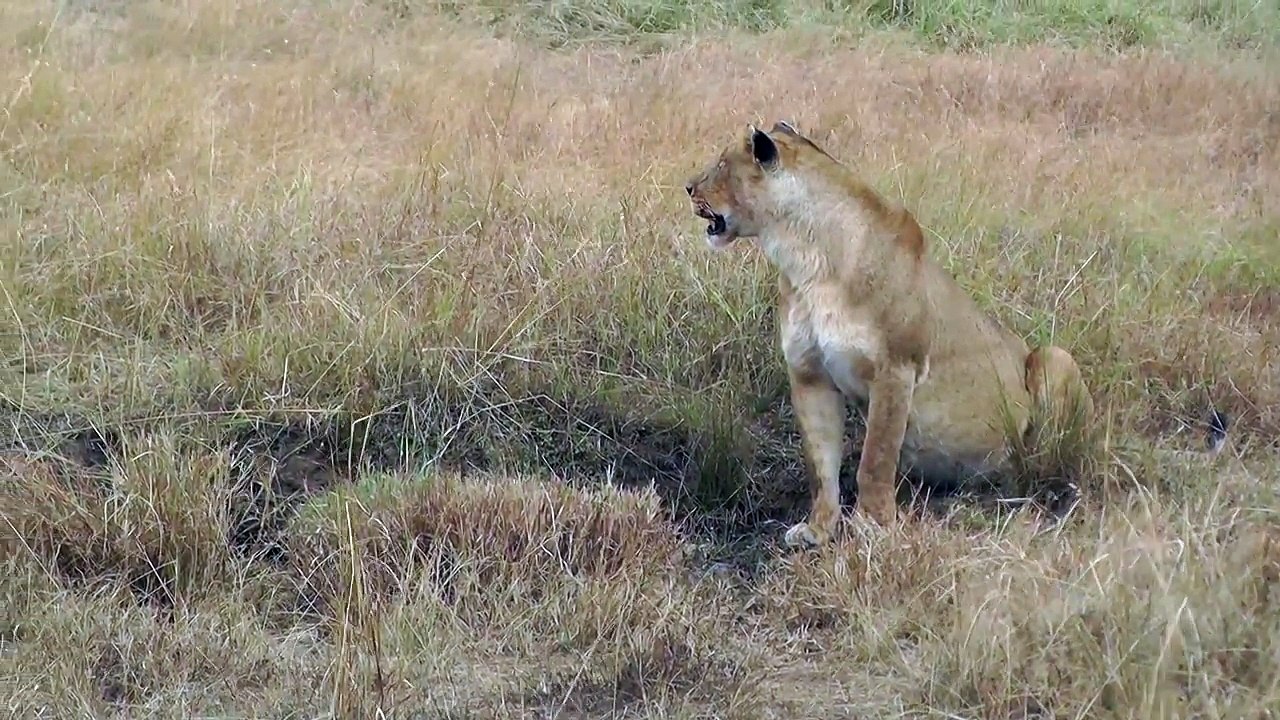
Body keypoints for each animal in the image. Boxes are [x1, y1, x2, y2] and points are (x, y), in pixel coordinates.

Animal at [683, 121, 1096, 549]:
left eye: (720, 165)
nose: (688, 187)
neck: (805, 257)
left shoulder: (896, 369)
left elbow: (876, 458)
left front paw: (872, 525)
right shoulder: (809, 374)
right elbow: (821, 464)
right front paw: (818, 529)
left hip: (1054, 358)